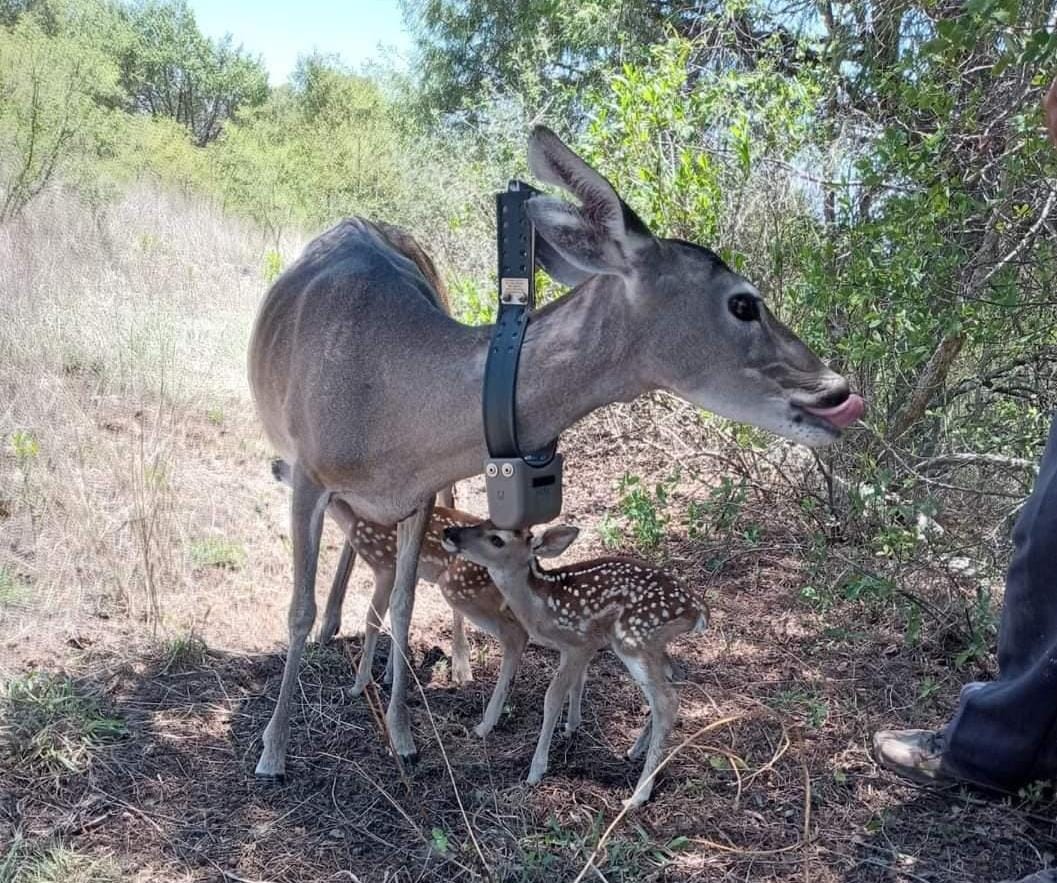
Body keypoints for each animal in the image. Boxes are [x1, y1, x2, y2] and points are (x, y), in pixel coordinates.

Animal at [249, 124, 866, 774]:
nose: (838, 390)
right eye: (743, 303)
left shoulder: (417, 489)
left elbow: (403, 600)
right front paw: (274, 748)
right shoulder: (309, 471)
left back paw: (450, 661)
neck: (388, 403)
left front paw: (402, 731)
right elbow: (296, 608)